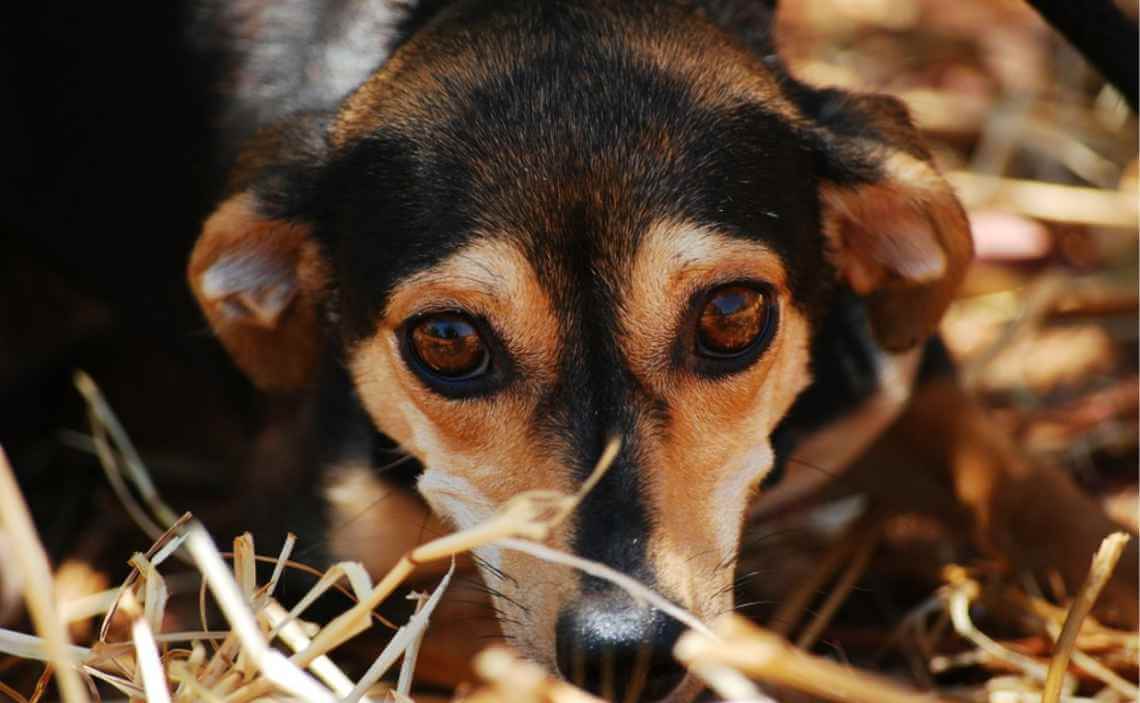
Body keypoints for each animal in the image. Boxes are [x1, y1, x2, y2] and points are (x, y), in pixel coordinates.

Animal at [184, 2, 1130, 697]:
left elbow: (1064, 515)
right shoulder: (304, 568)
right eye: (446, 341)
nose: (623, 650)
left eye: (732, 314)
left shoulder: (907, 392)